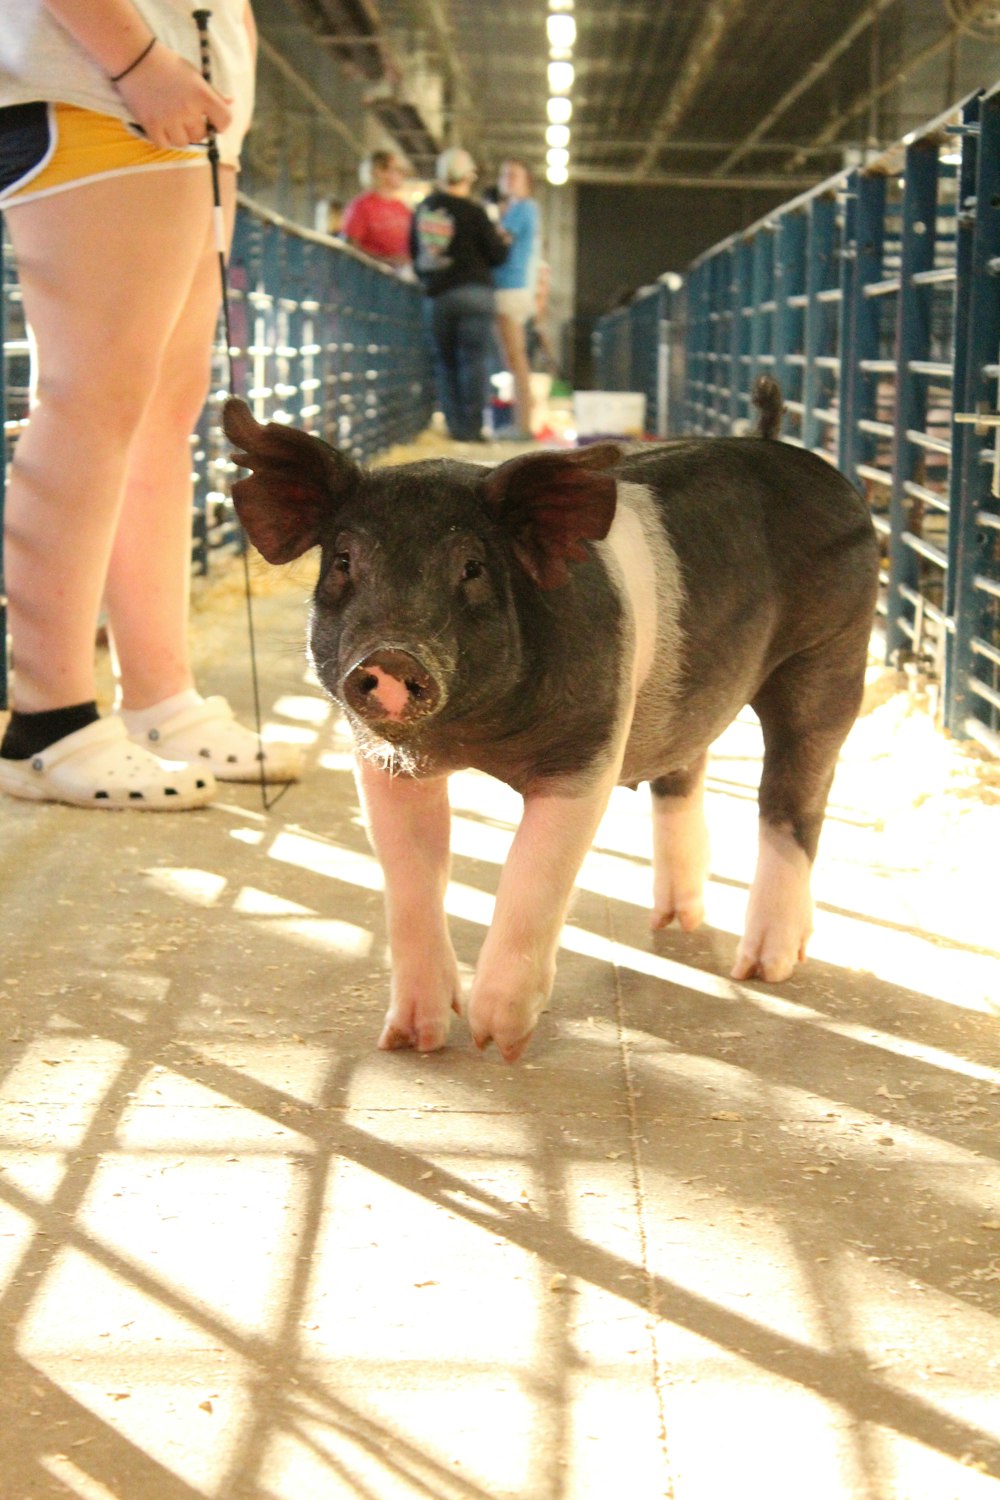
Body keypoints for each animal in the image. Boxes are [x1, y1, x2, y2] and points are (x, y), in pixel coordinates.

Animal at [223, 384, 881, 1068]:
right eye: (344, 561)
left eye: (473, 567)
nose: (392, 657)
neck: (470, 735)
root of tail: (778, 442)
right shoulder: (386, 761)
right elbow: (411, 878)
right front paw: (412, 1042)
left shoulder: (586, 748)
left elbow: (533, 869)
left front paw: (497, 1039)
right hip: (695, 689)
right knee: (684, 768)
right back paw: (673, 920)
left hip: (834, 649)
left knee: (794, 797)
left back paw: (762, 966)